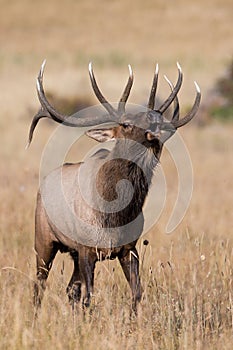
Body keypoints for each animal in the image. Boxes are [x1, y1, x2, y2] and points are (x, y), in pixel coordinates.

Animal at [28, 60, 201, 312]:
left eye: (157, 119)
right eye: (126, 124)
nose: (156, 125)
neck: (114, 215)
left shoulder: (128, 248)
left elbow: (136, 293)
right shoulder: (87, 249)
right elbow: (89, 296)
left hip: (73, 253)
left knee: (70, 289)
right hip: (44, 240)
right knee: (39, 285)